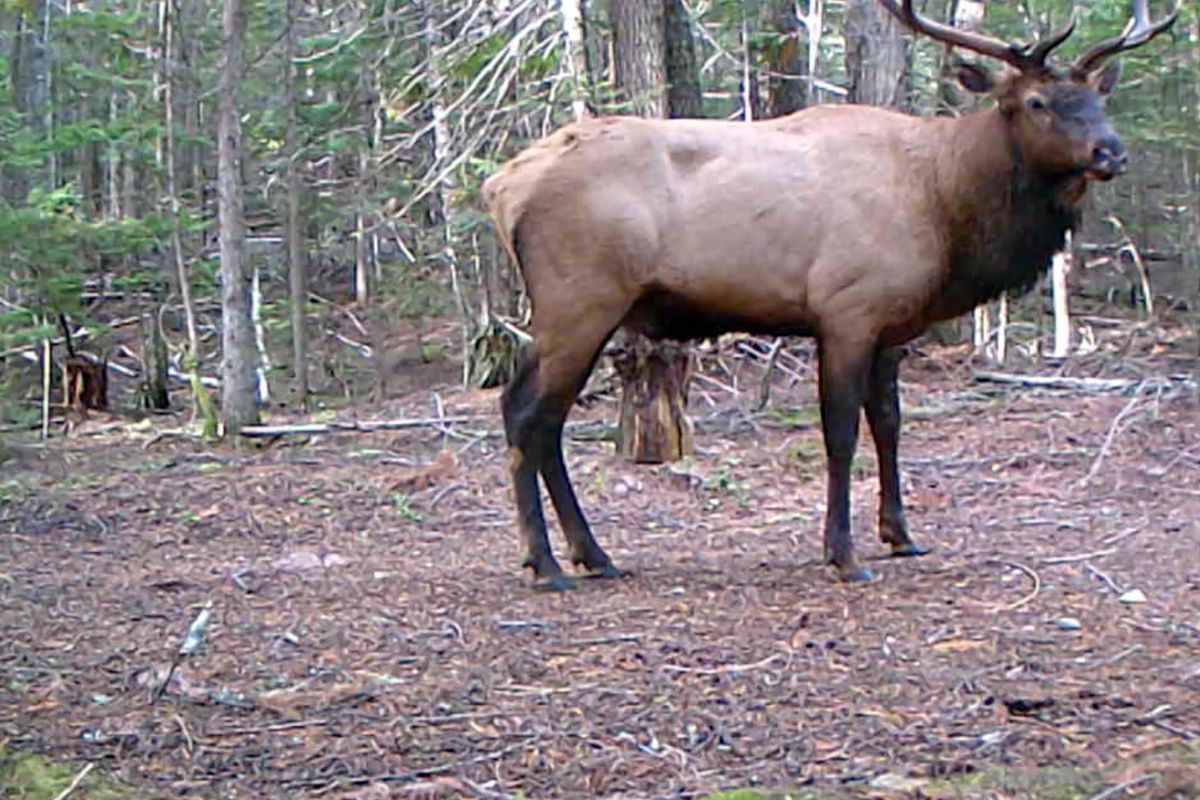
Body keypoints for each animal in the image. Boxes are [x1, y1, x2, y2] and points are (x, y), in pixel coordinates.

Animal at [477, 0, 1171, 587]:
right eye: (1036, 101)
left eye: (1098, 96)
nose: (1110, 152)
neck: (946, 205)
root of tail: (500, 187)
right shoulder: (846, 309)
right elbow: (840, 432)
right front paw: (842, 554)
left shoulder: (893, 324)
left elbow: (888, 423)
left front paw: (900, 534)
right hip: (580, 299)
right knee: (528, 413)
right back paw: (551, 562)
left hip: (578, 310)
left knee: (537, 416)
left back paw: (587, 554)